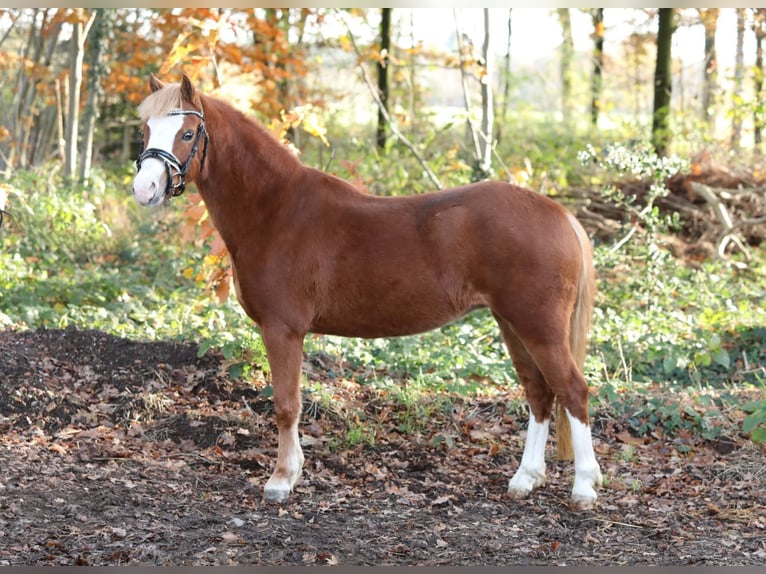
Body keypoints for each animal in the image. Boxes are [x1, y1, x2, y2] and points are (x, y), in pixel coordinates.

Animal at [132, 74, 604, 510]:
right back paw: (526, 479)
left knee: (572, 390)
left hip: (538, 326)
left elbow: (286, 404)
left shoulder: (283, 330)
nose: (144, 189)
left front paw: (282, 479)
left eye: (187, 133)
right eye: (146, 131)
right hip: (512, 323)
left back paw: (583, 487)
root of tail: (560, 214)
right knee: (539, 393)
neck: (275, 210)